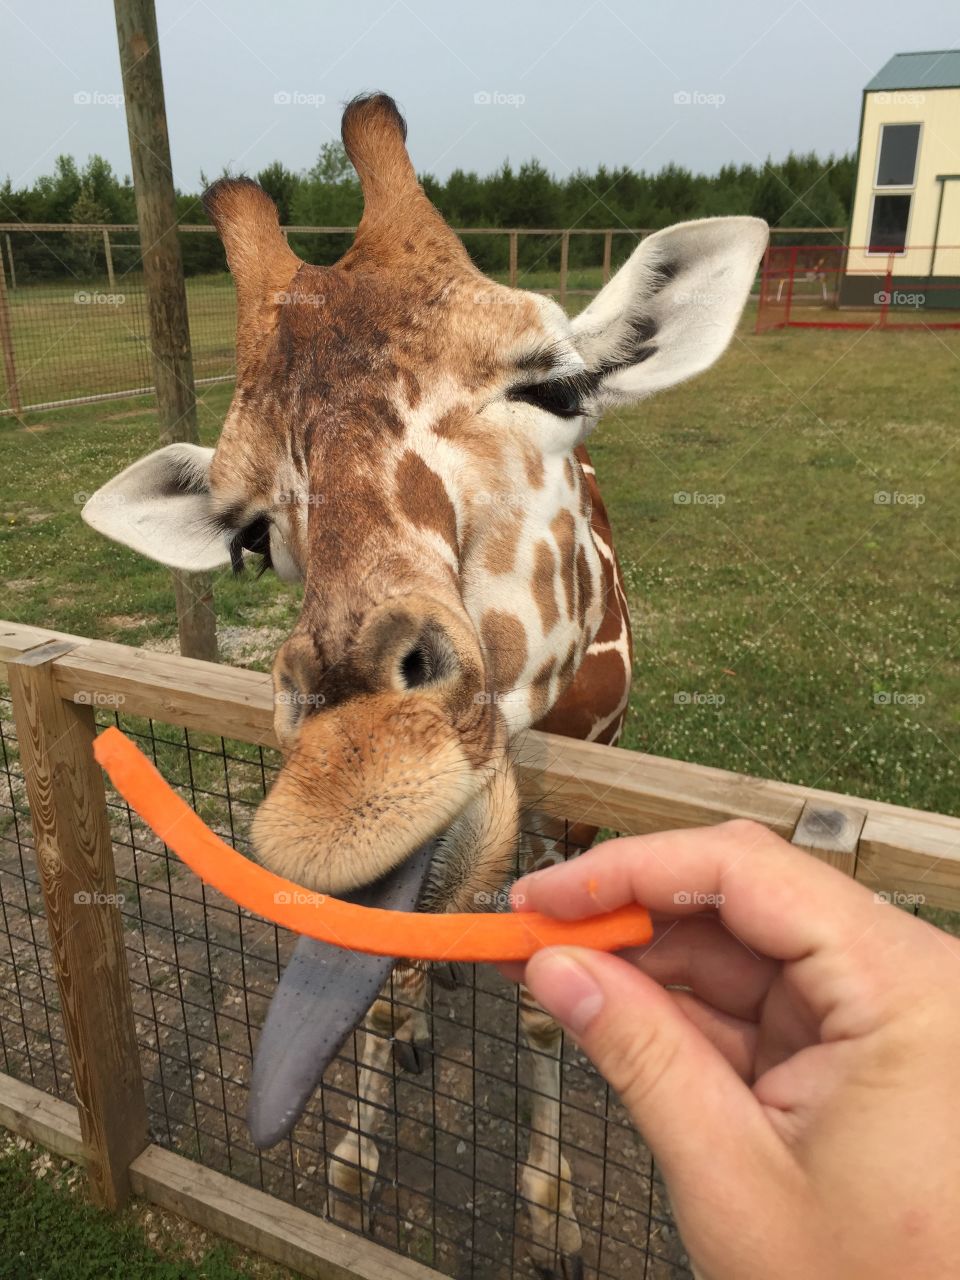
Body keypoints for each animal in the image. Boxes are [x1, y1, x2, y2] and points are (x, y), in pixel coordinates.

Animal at [84, 92, 768, 1280]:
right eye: (249, 535)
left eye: (556, 385)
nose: (356, 780)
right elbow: (379, 983)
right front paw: (359, 1149)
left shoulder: (578, 809)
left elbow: (542, 1004)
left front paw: (553, 1215)